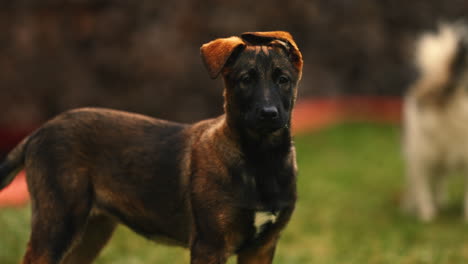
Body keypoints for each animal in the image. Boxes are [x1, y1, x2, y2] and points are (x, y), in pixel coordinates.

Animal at [0, 31, 304, 264]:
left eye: (283, 80)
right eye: (245, 79)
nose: (268, 114)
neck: (259, 159)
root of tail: (38, 131)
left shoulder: (261, 247)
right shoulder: (209, 245)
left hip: (91, 230)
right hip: (58, 221)